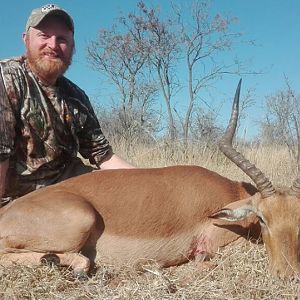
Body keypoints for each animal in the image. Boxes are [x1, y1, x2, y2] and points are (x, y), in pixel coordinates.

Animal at [0, 79, 300, 278]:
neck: (229, 195)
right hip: (80, 219)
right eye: (262, 218)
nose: (287, 275)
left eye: (298, 220)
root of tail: (7, 212)